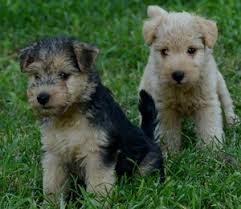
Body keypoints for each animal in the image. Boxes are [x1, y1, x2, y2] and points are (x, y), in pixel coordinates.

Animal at [19, 36, 165, 206]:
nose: (42, 97)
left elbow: (98, 184)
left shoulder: (97, 153)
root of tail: (148, 137)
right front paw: (51, 204)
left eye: (63, 74)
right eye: (36, 76)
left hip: (147, 163)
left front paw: (96, 204)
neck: (69, 115)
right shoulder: (53, 154)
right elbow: (52, 184)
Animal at [138, 6, 238, 153]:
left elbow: (209, 128)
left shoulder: (207, 103)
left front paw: (211, 151)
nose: (178, 75)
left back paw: (233, 122)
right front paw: (169, 152)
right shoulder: (165, 108)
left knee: (227, 103)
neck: (183, 90)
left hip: (220, 83)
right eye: (164, 51)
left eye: (191, 50)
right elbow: (168, 133)